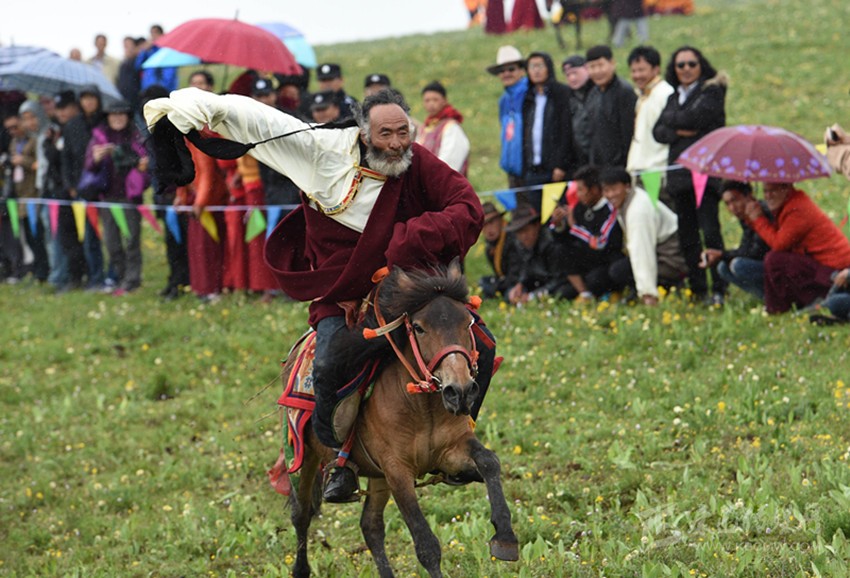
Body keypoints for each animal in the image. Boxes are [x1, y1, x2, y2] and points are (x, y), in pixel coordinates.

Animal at [277, 261, 519, 578]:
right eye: (419, 328)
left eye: (468, 323)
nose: (461, 390)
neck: (421, 407)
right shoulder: (397, 471)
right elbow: (426, 545)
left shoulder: (451, 451)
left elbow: (490, 461)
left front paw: (505, 536)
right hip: (305, 458)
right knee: (302, 514)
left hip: (377, 475)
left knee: (370, 526)